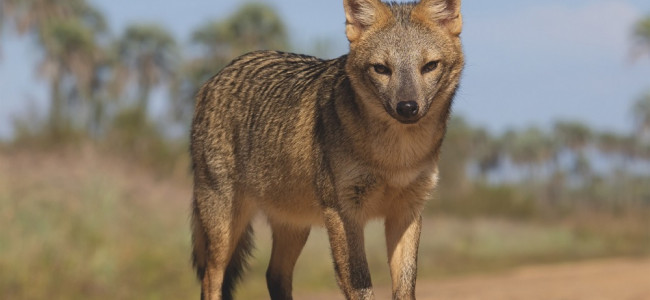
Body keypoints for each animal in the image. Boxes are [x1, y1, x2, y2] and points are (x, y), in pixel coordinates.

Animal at [190, 0, 464, 298]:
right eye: (381, 69)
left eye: (429, 66)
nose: (407, 107)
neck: (395, 158)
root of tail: (213, 78)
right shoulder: (344, 213)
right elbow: (361, 285)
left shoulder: (407, 211)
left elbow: (405, 286)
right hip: (224, 229)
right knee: (211, 280)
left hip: (294, 227)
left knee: (274, 275)